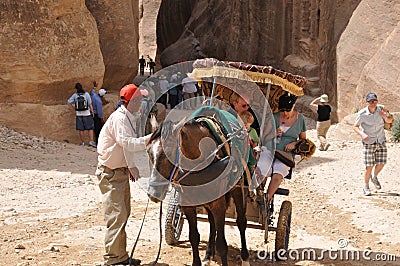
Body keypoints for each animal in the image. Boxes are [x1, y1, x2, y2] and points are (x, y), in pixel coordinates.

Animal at [145, 111, 252, 264]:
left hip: (238, 190)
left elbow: (222, 244)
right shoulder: (188, 206)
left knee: (241, 222)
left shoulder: (219, 205)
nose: (153, 193)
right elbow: (194, 237)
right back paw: (208, 254)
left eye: (169, 153)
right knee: (212, 223)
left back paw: (244, 257)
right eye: (148, 152)